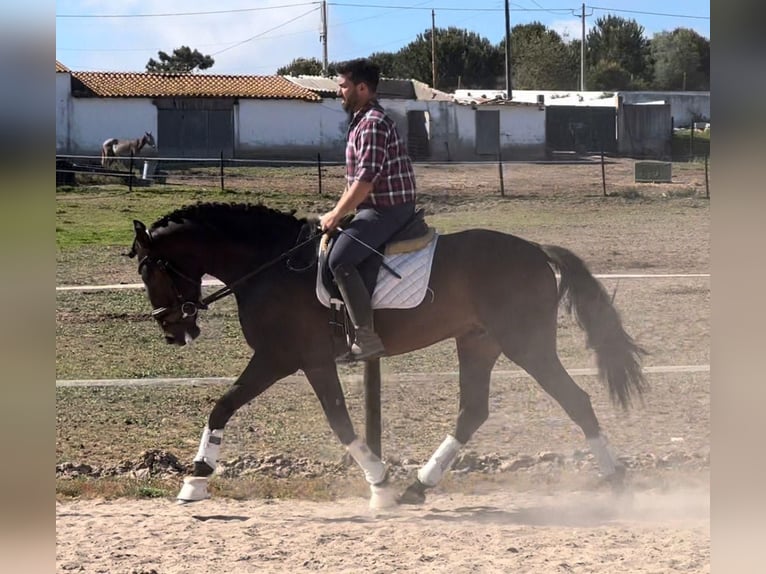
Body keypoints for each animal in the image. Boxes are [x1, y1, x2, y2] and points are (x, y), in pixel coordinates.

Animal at [127, 201, 648, 508]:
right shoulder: (308, 361)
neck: (269, 266)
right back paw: (420, 485)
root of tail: (538, 251)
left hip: (527, 343)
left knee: (575, 400)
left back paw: (617, 480)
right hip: (478, 342)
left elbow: (232, 406)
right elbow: (333, 419)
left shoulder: (284, 357)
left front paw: (194, 482)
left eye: (151, 270)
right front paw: (383, 482)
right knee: (472, 411)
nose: (173, 331)